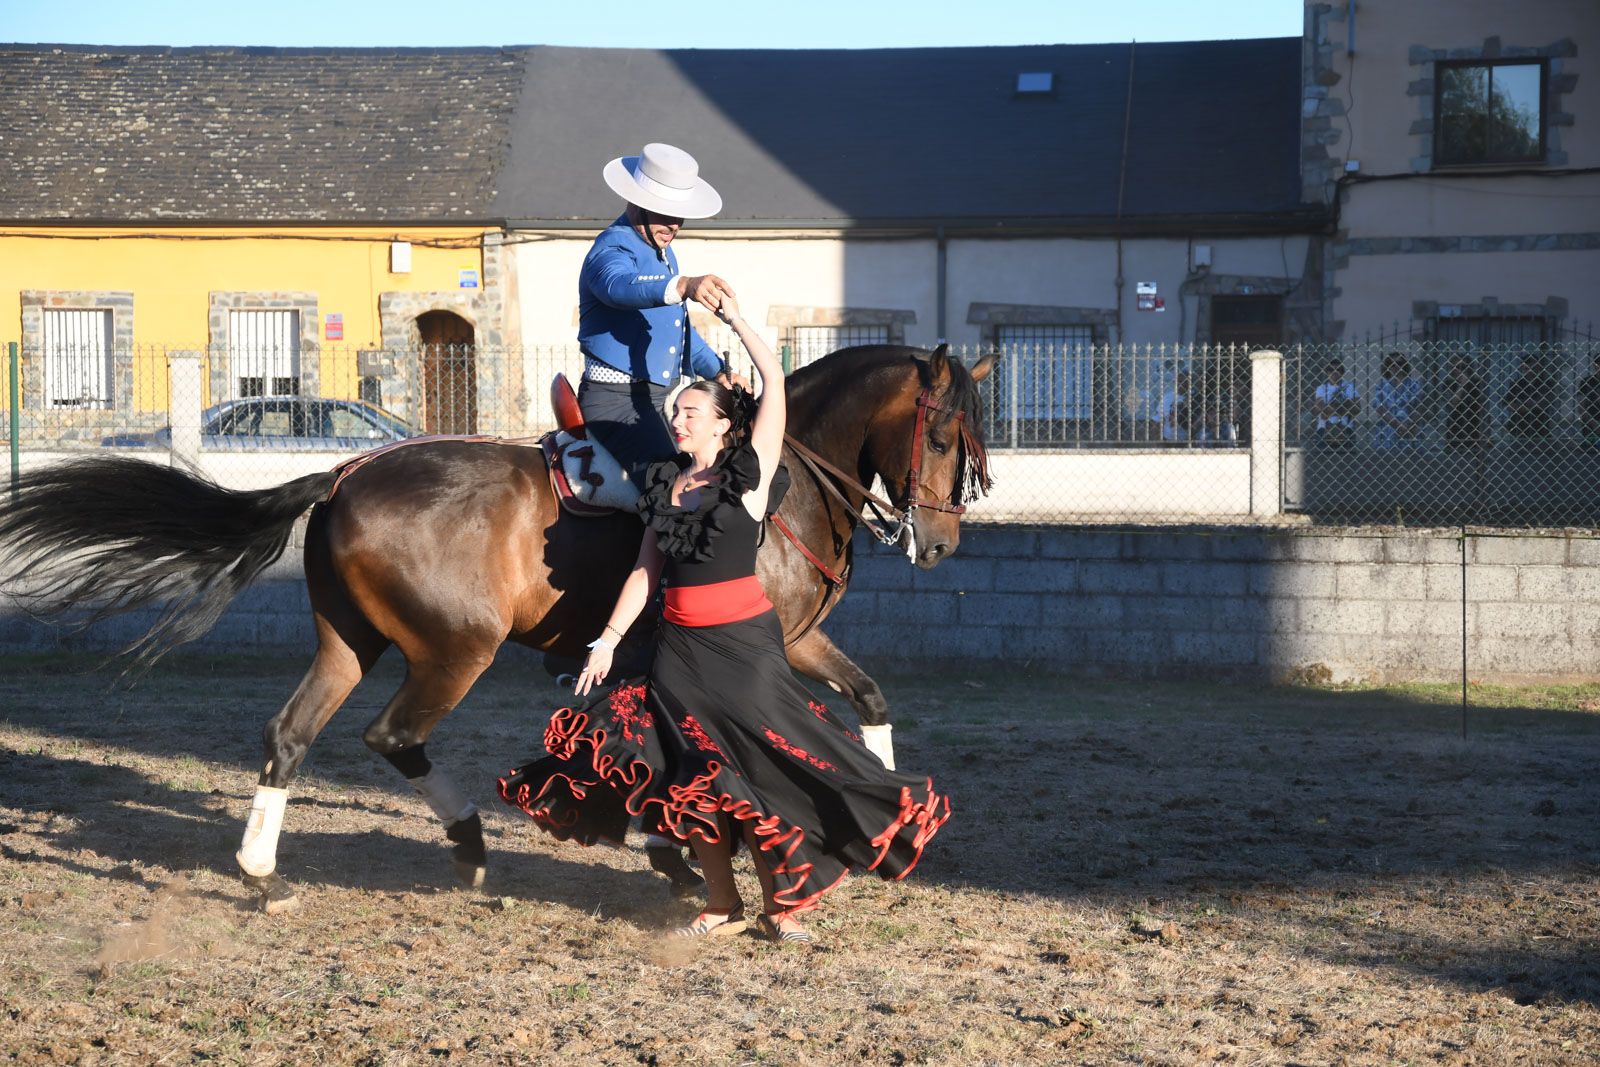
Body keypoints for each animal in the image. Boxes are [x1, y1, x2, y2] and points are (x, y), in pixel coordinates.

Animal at [0, 343, 996, 912]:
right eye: (946, 433)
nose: (945, 541)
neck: (775, 471)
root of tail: (345, 473)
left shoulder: (789, 642)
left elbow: (869, 696)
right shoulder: (772, 649)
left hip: (349, 641)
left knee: (291, 733)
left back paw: (264, 873)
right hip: (455, 649)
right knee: (391, 734)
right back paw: (472, 845)